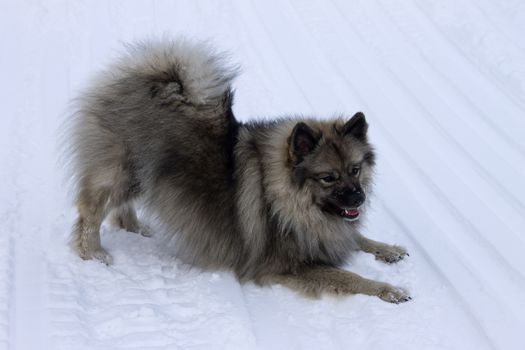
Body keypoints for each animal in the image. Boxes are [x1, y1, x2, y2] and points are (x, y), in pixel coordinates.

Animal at [66, 38, 410, 304]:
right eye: (328, 178)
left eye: (355, 169)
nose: (358, 198)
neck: (288, 200)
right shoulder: (286, 265)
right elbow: (350, 277)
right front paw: (389, 290)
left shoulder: (329, 232)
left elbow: (359, 238)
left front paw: (388, 250)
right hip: (121, 174)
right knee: (90, 213)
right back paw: (93, 253)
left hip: (140, 175)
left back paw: (136, 228)